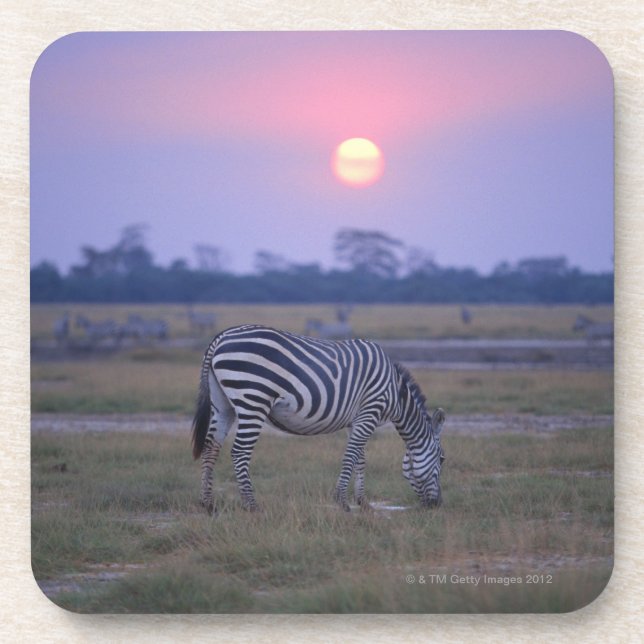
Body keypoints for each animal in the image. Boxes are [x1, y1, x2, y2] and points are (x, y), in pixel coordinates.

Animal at [191, 324, 446, 515]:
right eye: (442, 459)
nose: (437, 505)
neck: (396, 393)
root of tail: (221, 337)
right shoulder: (370, 411)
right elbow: (351, 456)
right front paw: (342, 502)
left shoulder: (357, 419)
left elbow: (360, 458)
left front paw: (363, 503)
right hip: (253, 399)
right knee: (240, 452)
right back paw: (253, 506)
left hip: (222, 404)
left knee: (211, 447)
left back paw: (208, 504)